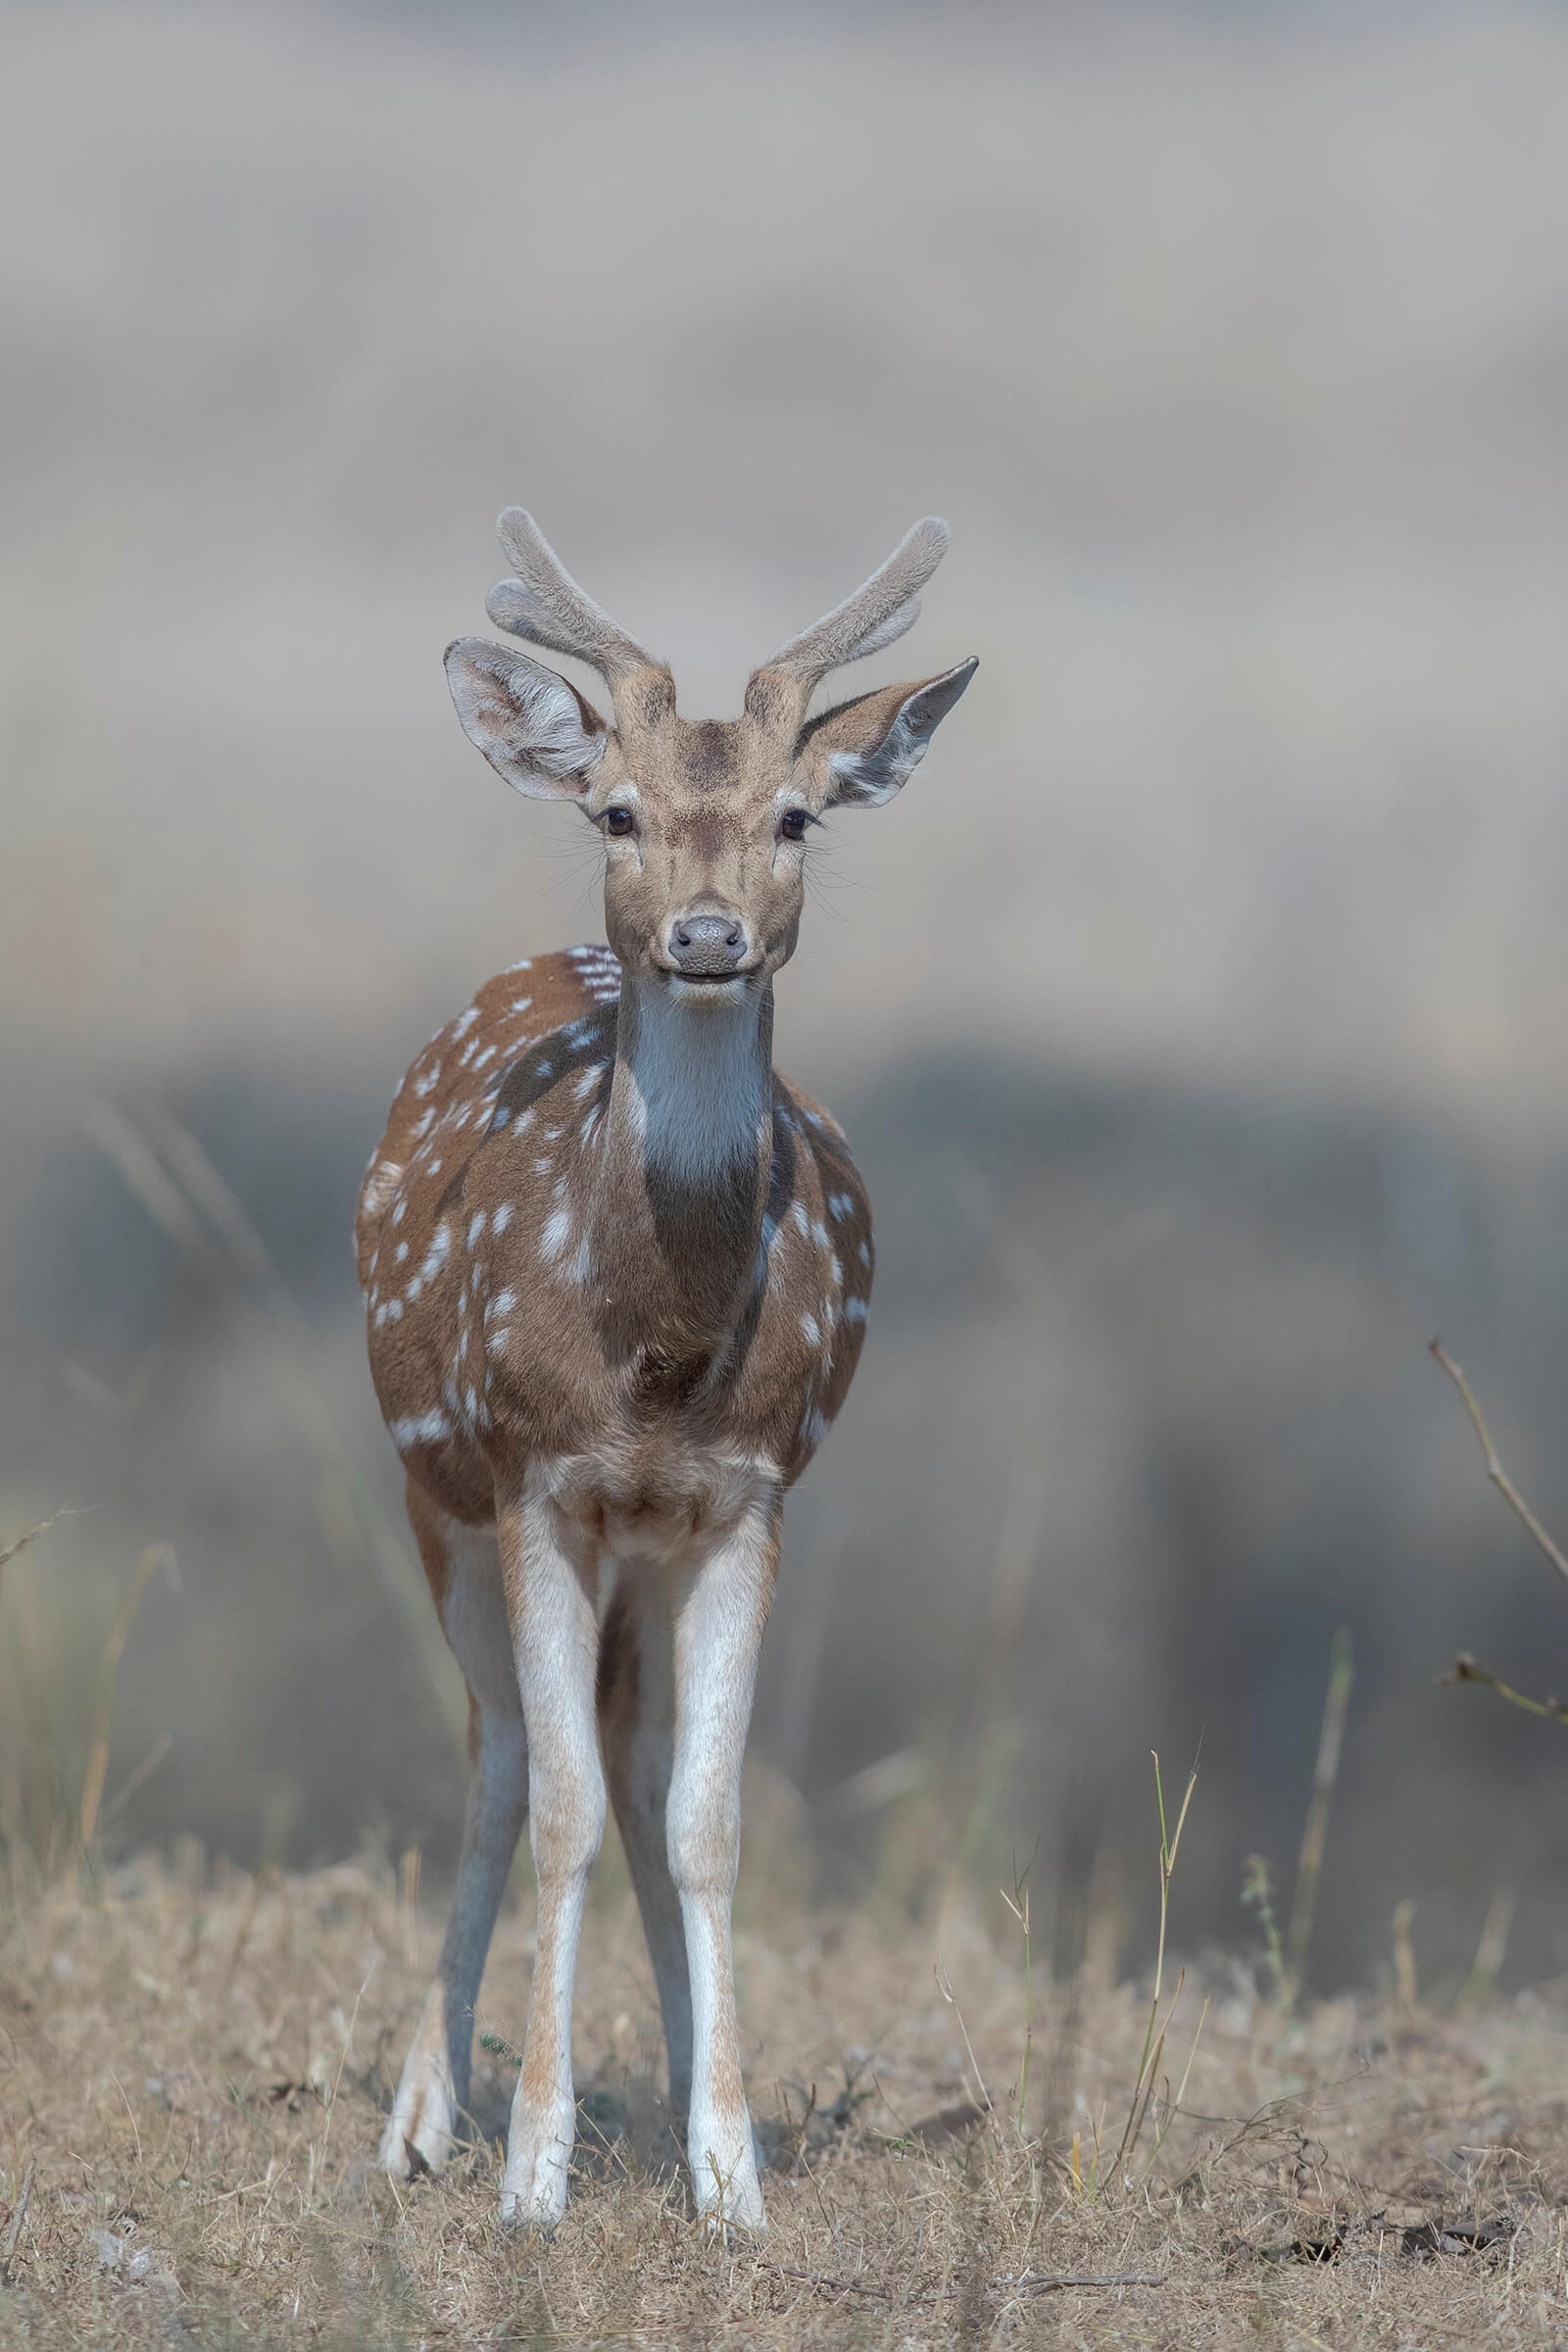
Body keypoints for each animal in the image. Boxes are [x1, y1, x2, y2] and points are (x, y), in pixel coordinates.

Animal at [355, 506, 975, 2232]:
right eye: (617, 808)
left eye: (795, 816)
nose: (705, 935)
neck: (657, 1360)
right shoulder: (535, 1478)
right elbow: (558, 1811)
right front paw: (532, 2176)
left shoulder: (748, 1497)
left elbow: (706, 1820)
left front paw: (735, 2172)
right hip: (434, 1493)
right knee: (505, 1762)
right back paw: (420, 2117)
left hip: (640, 1551)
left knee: (634, 1769)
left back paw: (683, 2095)